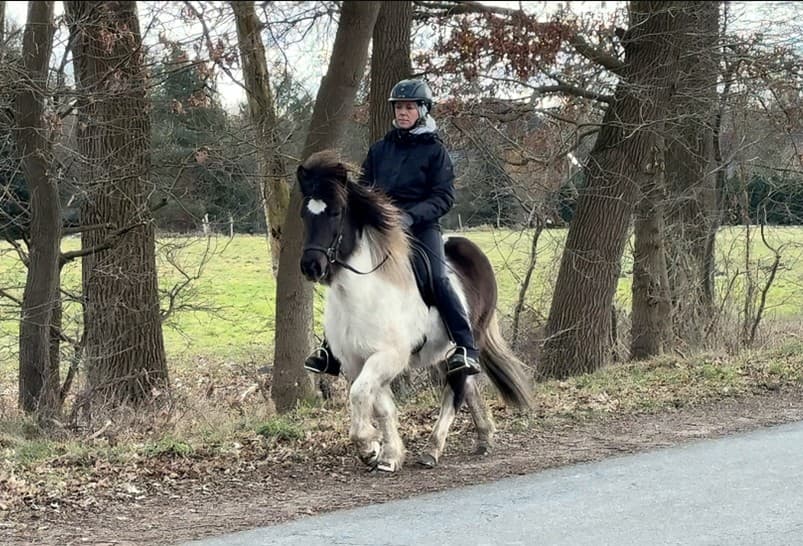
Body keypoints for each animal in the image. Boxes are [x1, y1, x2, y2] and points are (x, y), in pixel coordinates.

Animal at [297, 149, 533, 472]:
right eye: (304, 214)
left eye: (335, 212)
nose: (311, 266)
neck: (363, 294)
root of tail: (472, 251)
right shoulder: (356, 361)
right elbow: (380, 405)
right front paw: (387, 454)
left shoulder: (389, 356)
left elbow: (360, 394)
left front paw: (368, 444)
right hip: (445, 352)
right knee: (468, 384)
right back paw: (484, 437)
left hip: (468, 339)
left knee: (455, 391)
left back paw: (433, 449)